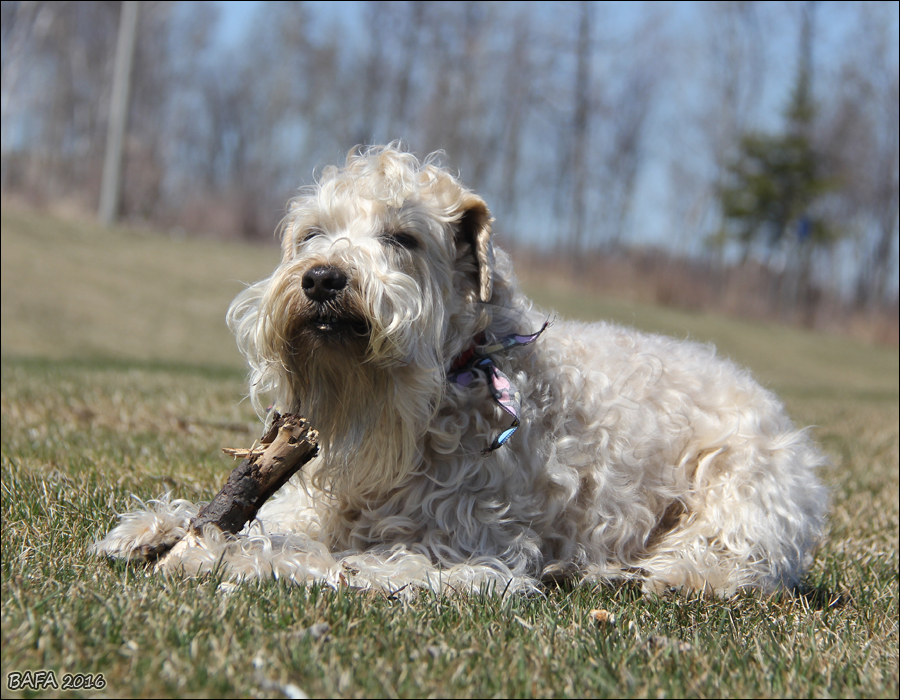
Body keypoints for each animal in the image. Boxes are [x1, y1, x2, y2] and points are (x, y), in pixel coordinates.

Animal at [96, 145, 828, 592]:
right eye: (312, 232)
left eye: (403, 236)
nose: (324, 278)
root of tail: (776, 410)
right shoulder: (320, 505)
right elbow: (264, 520)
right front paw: (157, 527)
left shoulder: (465, 551)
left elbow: (333, 562)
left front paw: (220, 554)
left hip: (741, 493)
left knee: (728, 562)